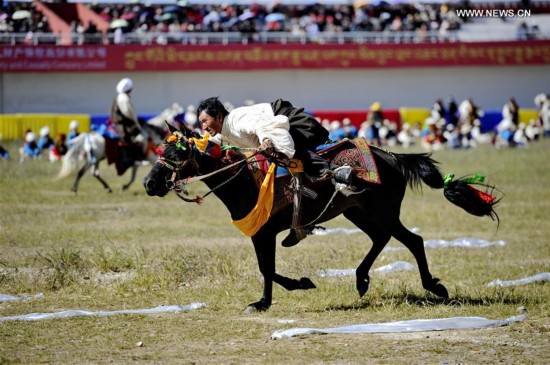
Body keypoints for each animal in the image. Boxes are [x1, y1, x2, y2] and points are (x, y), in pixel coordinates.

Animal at [142, 123, 500, 312]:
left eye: (176, 155)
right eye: (160, 152)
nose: (148, 183)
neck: (246, 181)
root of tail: (393, 157)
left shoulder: (265, 233)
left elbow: (267, 269)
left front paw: (276, 296)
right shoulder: (262, 235)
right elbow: (267, 268)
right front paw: (277, 294)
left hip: (382, 212)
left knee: (413, 240)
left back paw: (433, 286)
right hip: (358, 212)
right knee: (382, 239)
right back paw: (361, 279)